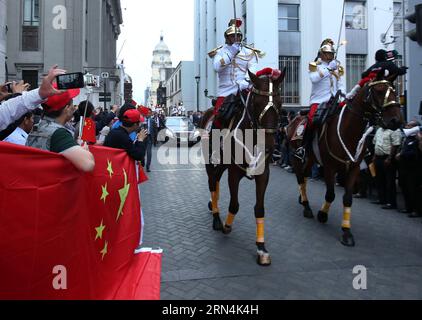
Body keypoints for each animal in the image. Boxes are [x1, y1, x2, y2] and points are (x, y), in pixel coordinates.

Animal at [199, 69, 286, 264]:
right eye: (257, 102)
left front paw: (261, 248)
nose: (269, 146)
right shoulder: (234, 173)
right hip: (210, 162)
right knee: (212, 183)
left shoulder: (264, 174)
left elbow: (259, 208)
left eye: (279, 102)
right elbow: (234, 205)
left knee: (216, 183)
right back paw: (216, 218)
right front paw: (226, 226)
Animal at [286, 74, 402, 248]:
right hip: (296, 157)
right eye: (379, 91)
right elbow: (330, 194)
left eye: (394, 90)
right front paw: (322, 215)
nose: (396, 120)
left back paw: (302, 199)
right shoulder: (329, 167)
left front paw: (346, 232)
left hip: (311, 158)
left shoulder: (354, 168)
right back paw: (306, 207)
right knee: (300, 178)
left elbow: (347, 198)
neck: (348, 130)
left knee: (305, 176)